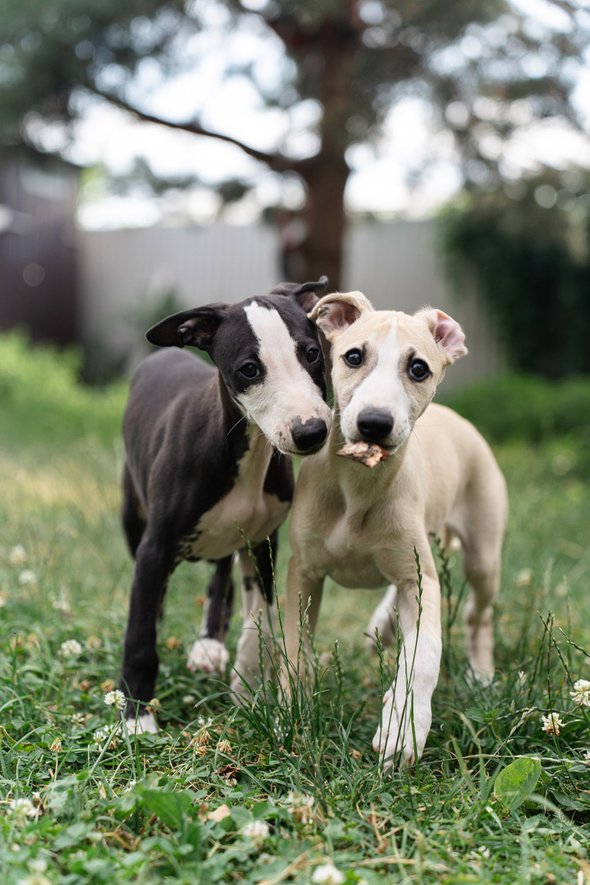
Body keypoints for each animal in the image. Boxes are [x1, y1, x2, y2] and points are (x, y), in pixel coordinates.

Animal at [120, 278, 332, 733]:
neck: (246, 452)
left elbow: (261, 622)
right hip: (132, 518)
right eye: (250, 369)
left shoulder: (263, 541)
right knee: (157, 595)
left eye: (311, 353)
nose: (311, 432)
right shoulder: (154, 548)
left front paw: (248, 687)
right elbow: (140, 635)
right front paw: (136, 717)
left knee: (221, 576)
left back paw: (210, 646)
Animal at [283, 291, 508, 766]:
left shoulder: (419, 578)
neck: (359, 485)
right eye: (353, 356)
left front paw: (404, 729)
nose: (374, 422)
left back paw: (480, 674)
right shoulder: (304, 572)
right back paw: (383, 626)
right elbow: (294, 646)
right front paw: (291, 711)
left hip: (482, 554)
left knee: (478, 615)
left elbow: (424, 653)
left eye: (418, 367)